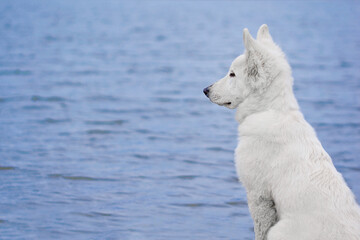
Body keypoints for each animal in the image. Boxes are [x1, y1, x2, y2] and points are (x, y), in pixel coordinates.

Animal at [202, 24, 360, 240]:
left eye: (232, 74)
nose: (205, 90)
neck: (270, 109)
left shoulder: (258, 195)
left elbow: (259, 231)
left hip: (278, 231)